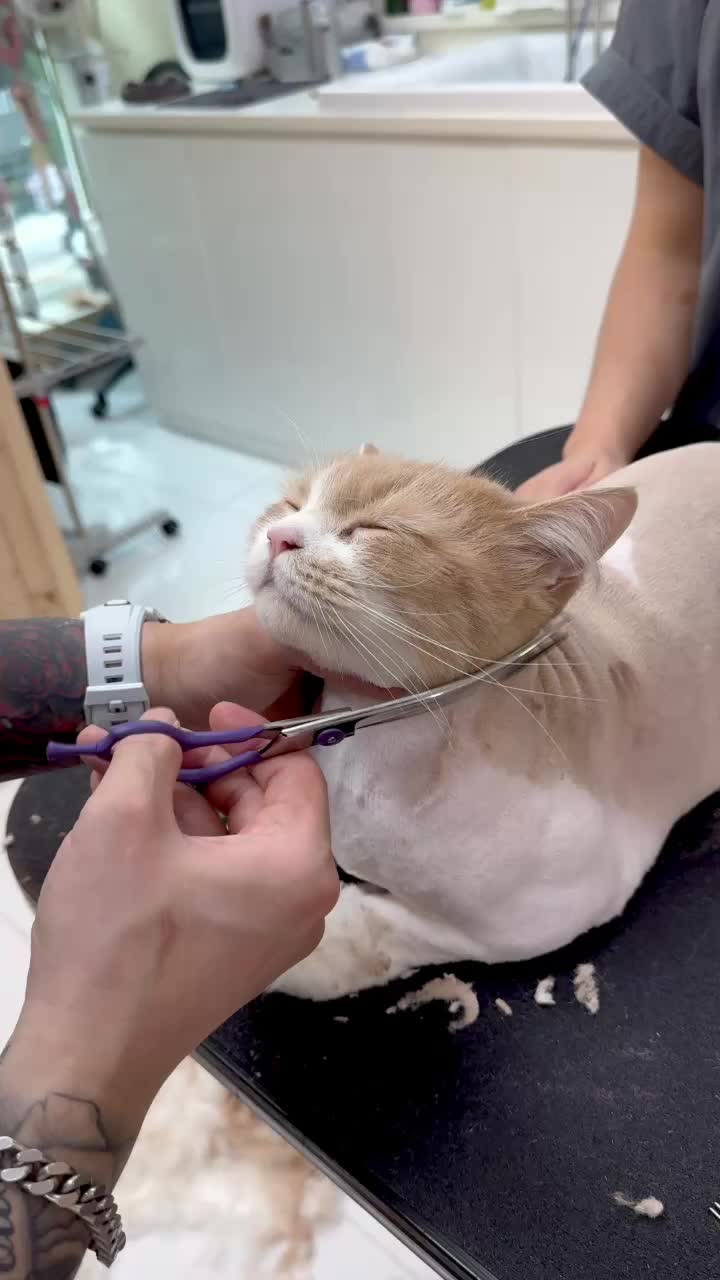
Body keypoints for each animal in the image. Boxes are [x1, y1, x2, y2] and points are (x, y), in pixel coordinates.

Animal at [246, 442, 720, 1001]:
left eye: (374, 529)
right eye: (290, 504)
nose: (280, 535)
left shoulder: (553, 909)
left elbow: (380, 932)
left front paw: (295, 946)